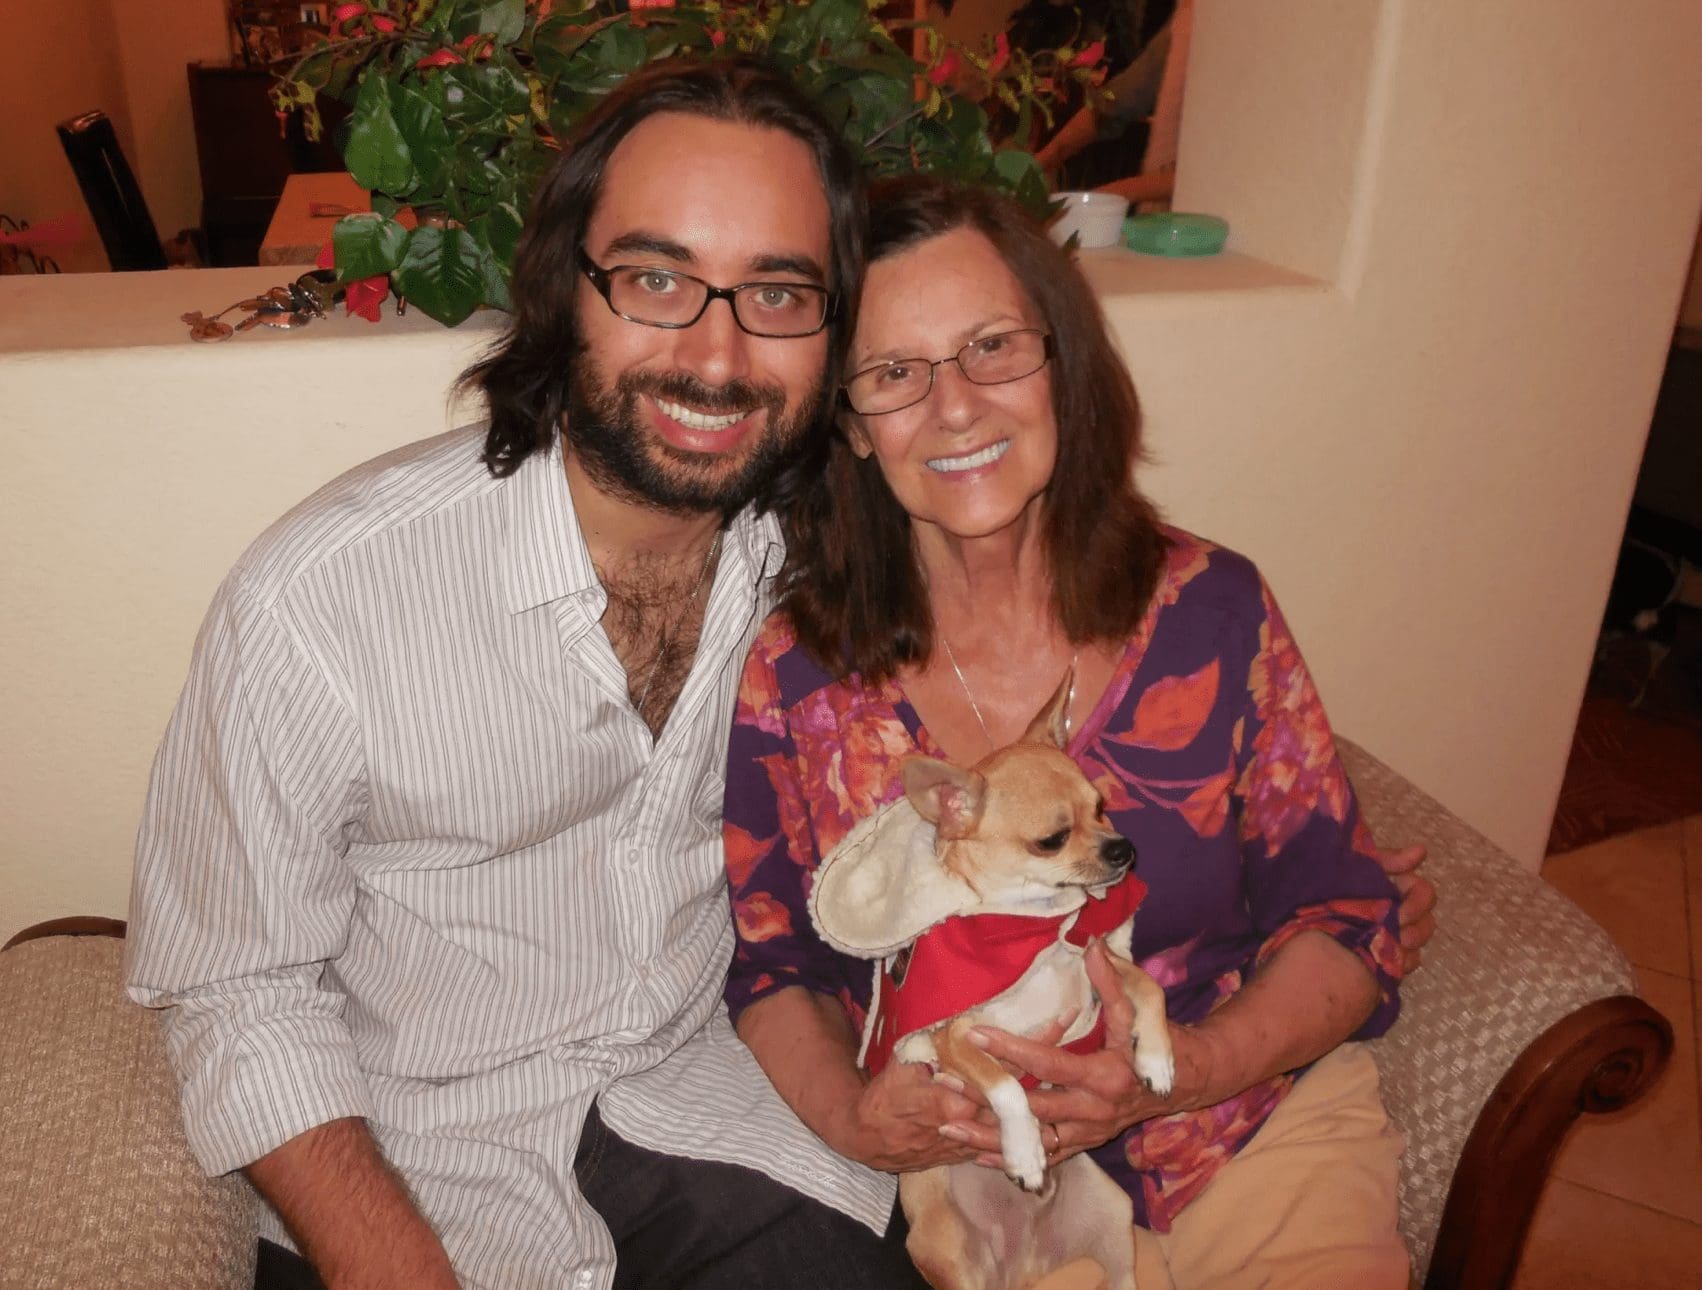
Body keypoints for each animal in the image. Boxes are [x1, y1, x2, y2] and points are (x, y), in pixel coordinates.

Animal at [809, 676, 1174, 1290]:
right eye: (1052, 840)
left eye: (1102, 808)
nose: (1123, 848)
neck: (1031, 928)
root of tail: (1023, 1266)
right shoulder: (954, 1040)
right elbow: (1005, 1085)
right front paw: (1024, 1152)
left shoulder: (1098, 959)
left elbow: (1150, 988)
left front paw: (1156, 1060)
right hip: (950, 1249)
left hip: (1112, 1213)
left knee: (1124, 1275)